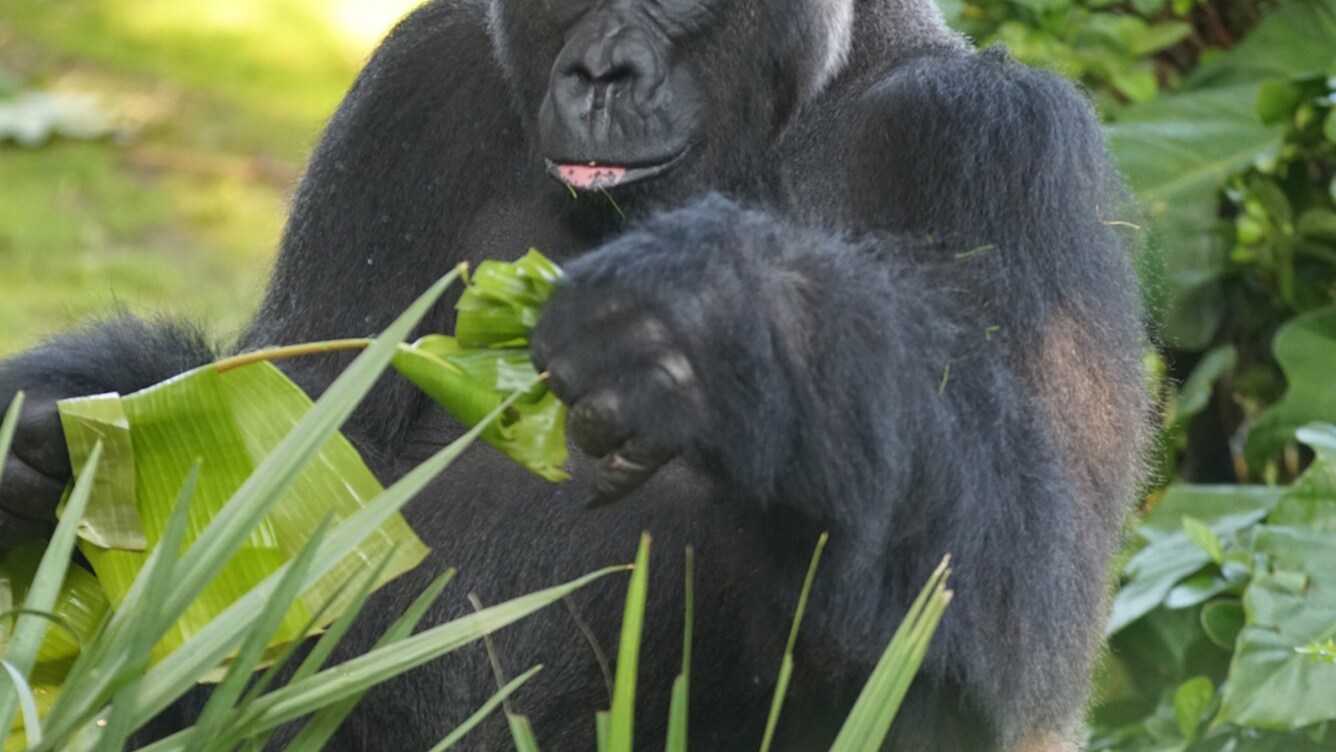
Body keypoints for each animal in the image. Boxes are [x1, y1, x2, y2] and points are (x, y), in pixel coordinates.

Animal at [0, 0, 1148, 747]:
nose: (600, 74)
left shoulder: (991, 132)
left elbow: (1016, 616)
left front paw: (713, 323)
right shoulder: (416, 84)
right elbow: (283, 482)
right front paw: (57, 434)